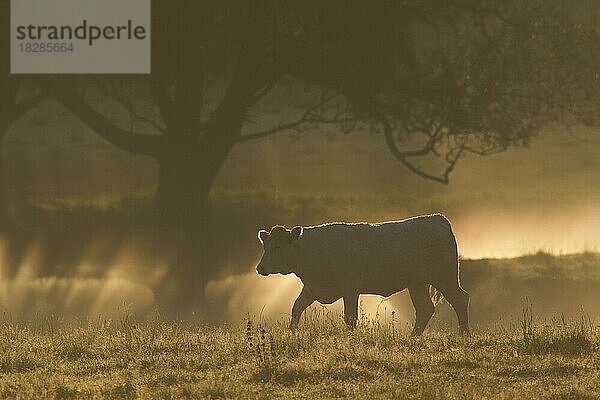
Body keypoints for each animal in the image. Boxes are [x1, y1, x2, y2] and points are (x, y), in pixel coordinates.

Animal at [255, 214, 472, 336]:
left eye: (278, 246)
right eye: (265, 245)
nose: (260, 268)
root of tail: (437, 219)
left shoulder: (350, 287)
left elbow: (350, 317)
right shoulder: (311, 288)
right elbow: (296, 308)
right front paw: (291, 333)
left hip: (445, 277)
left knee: (460, 299)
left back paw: (463, 334)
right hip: (417, 283)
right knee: (425, 309)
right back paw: (413, 338)